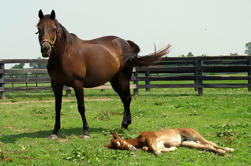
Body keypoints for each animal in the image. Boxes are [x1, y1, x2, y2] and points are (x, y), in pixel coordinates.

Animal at [35, 9, 171, 138]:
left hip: (123, 79)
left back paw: (125, 125)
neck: (65, 55)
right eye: (39, 28)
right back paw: (125, 124)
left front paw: (86, 131)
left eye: (54, 28)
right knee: (124, 99)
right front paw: (55, 131)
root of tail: (126, 43)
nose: (45, 49)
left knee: (127, 99)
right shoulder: (56, 84)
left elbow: (81, 107)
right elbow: (57, 107)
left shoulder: (77, 84)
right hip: (115, 81)